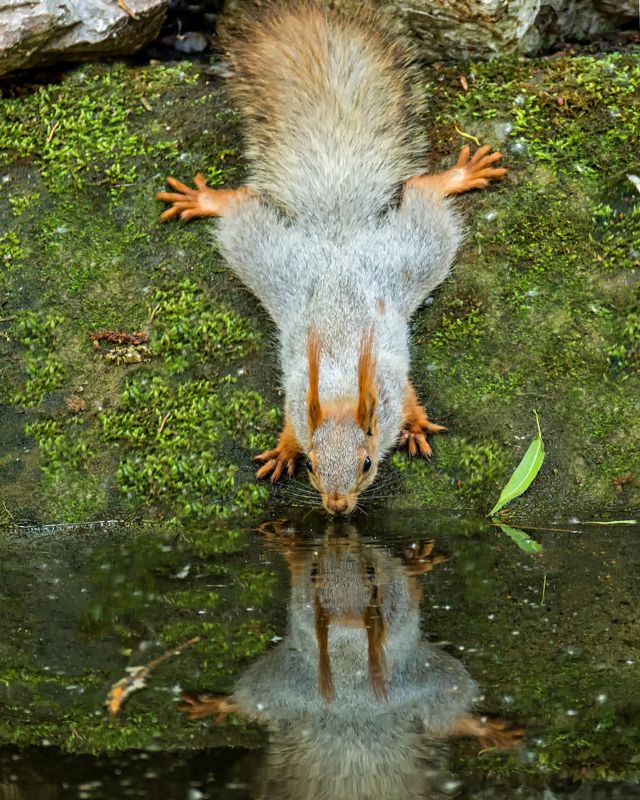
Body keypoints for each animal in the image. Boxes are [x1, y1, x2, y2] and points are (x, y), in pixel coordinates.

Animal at [157, 1, 506, 515]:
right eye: (313, 466)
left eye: (367, 464)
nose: (337, 507)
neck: (340, 384)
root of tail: (336, 227)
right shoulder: (298, 396)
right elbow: (291, 425)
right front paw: (283, 450)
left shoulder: (389, 380)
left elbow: (408, 397)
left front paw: (416, 425)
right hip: (268, 256)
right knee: (240, 206)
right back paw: (205, 200)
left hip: (413, 252)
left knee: (424, 193)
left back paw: (458, 175)